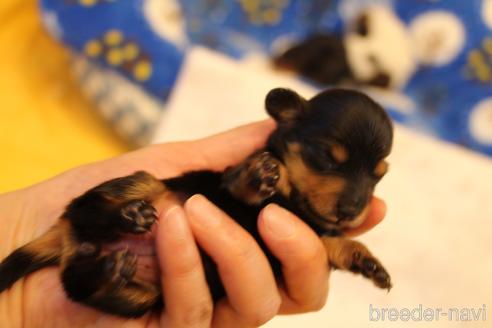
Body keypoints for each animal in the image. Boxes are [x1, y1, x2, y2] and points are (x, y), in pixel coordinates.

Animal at [0, 87, 392, 318]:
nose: (351, 211)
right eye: (327, 157)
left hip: (140, 298)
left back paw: (107, 268)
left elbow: (331, 243)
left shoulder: (311, 236)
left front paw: (367, 262)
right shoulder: (226, 181)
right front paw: (262, 174)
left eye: (379, 176)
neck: (297, 205)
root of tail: (67, 237)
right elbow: (243, 181)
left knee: (78, 284)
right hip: (141, 181)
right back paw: (126, 217)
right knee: (89, 209)